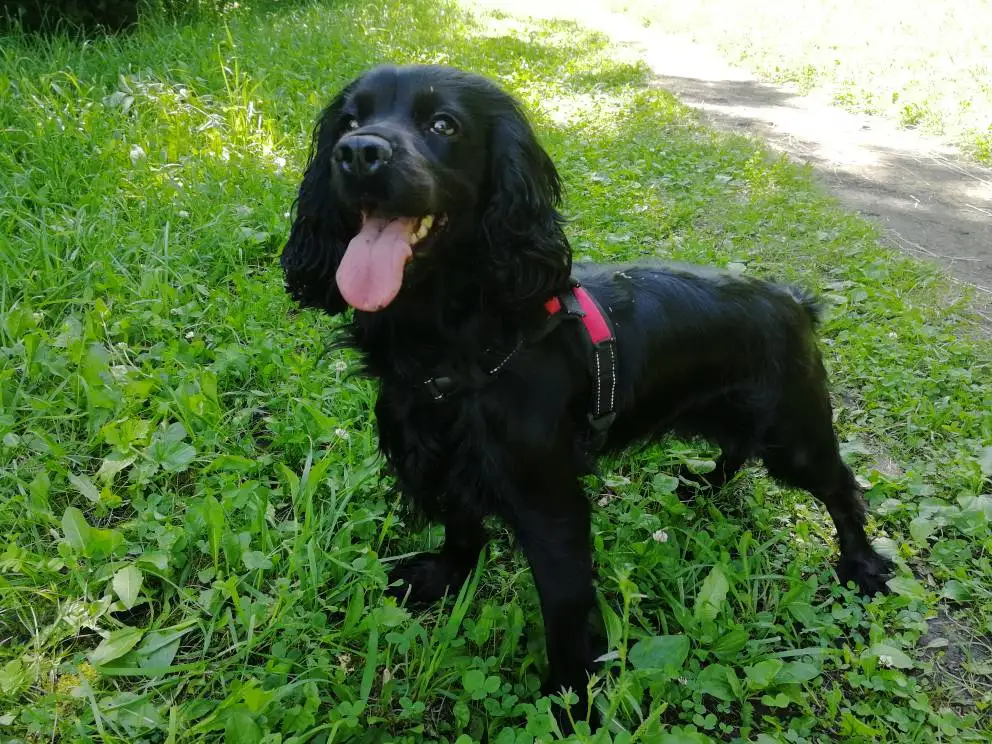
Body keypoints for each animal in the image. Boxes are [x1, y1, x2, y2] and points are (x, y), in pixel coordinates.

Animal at [280, 64, 894, 724]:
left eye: (443, 124)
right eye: (348, 121)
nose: (358, 153)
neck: (459, 343)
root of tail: (794, 301)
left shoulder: (550, 507)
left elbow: (567, 613)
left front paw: (570, 701)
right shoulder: (450, 461)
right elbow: (463, 529)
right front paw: (446, 575)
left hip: (794, 436)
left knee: (842, 489)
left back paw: (862, 565)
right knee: (736, 454)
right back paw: (703, 484)